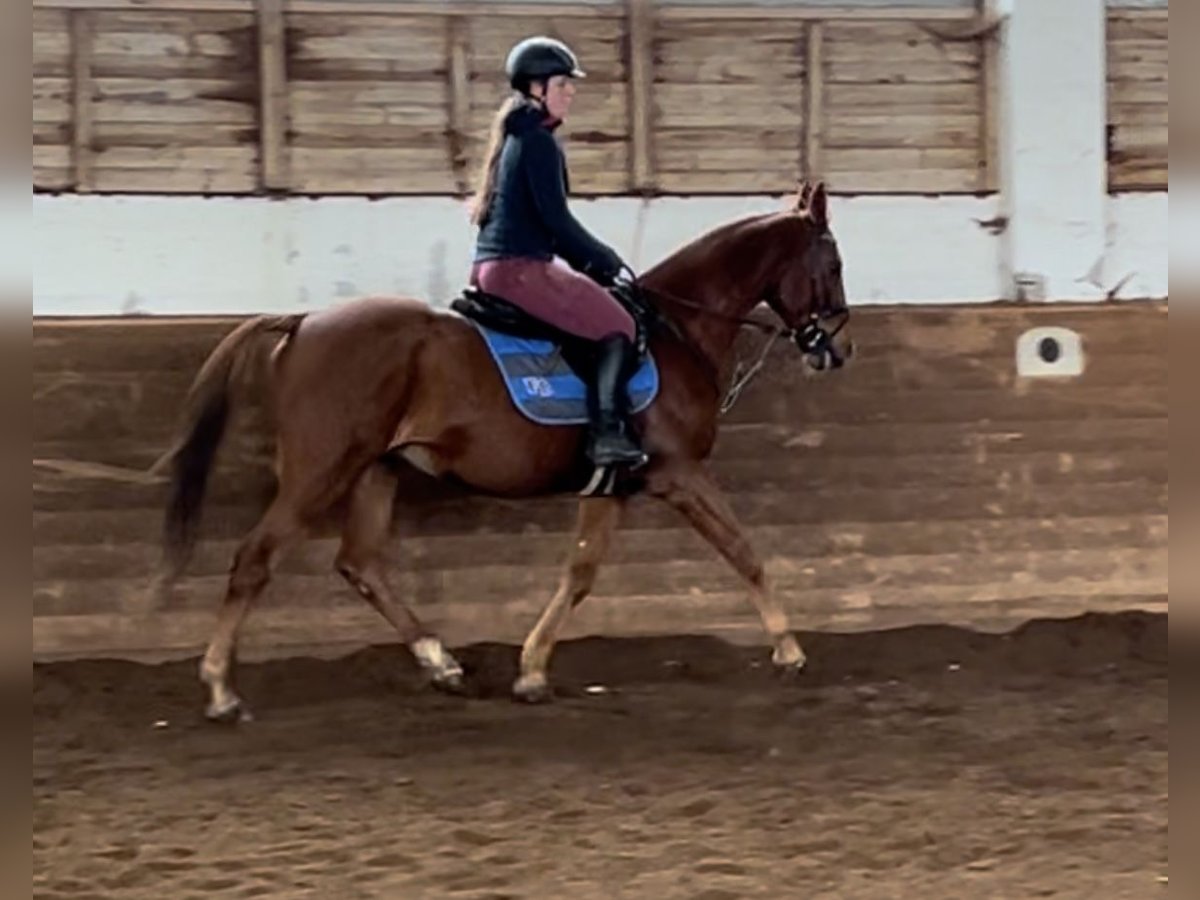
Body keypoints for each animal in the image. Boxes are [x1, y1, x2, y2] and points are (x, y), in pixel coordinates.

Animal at [154, 180, 854, 724]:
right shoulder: (680, 474)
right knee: (255, 559)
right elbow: (743, 551)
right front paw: (789, 651)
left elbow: (580, 572)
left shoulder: (613, 486)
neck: (675, 330)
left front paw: (532, 671)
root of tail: (302, 322)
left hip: (376, 470)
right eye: (835, 265)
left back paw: (441, 663)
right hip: (320, 472)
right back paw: (221, 690)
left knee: (361, 563)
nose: (837, 349)